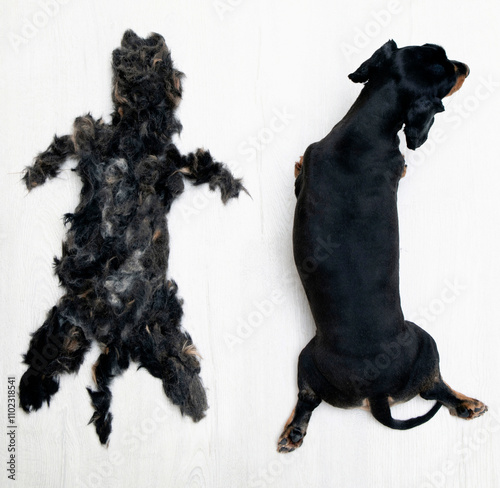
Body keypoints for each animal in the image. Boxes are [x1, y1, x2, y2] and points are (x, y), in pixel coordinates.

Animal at [19, 28, 244, 444]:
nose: (135, 33)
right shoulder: (92, 138)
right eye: (140, 52)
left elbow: (201, 165)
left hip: (156, 322)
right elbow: (66, 140)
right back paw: (33, 393)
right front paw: (36, 173)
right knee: (57, 356)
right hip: (70, 318)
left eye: (157, 57)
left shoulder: (169, 161)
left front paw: (231, 183)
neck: (136, 131)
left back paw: (193, 400)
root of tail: (114, 331)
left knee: (171, 360)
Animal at [278, 39, 484, 454]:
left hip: (306, 360)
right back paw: (468, 403)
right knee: (436, 387)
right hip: (427, 342)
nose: (466, 67)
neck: (363, 130)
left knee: (307, 397)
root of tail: (374, 394)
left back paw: (293, 433)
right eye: (447, 74)